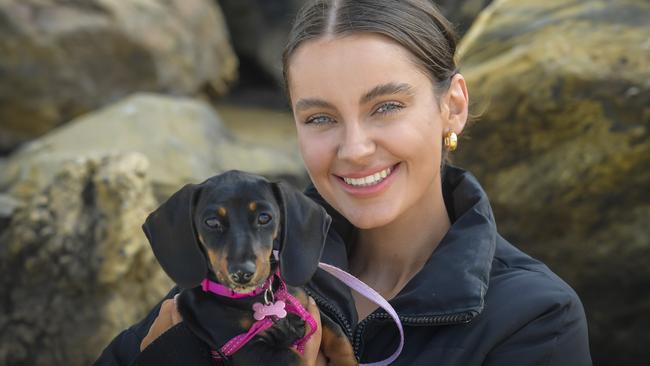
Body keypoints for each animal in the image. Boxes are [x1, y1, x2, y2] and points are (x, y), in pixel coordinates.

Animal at [133, 172, 354, 366]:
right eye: (211, 222)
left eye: (264, 217)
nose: (242, 273)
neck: (259, 301)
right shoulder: (244, 347)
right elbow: (294, 359)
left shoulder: (308, 311)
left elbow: (339, 338)